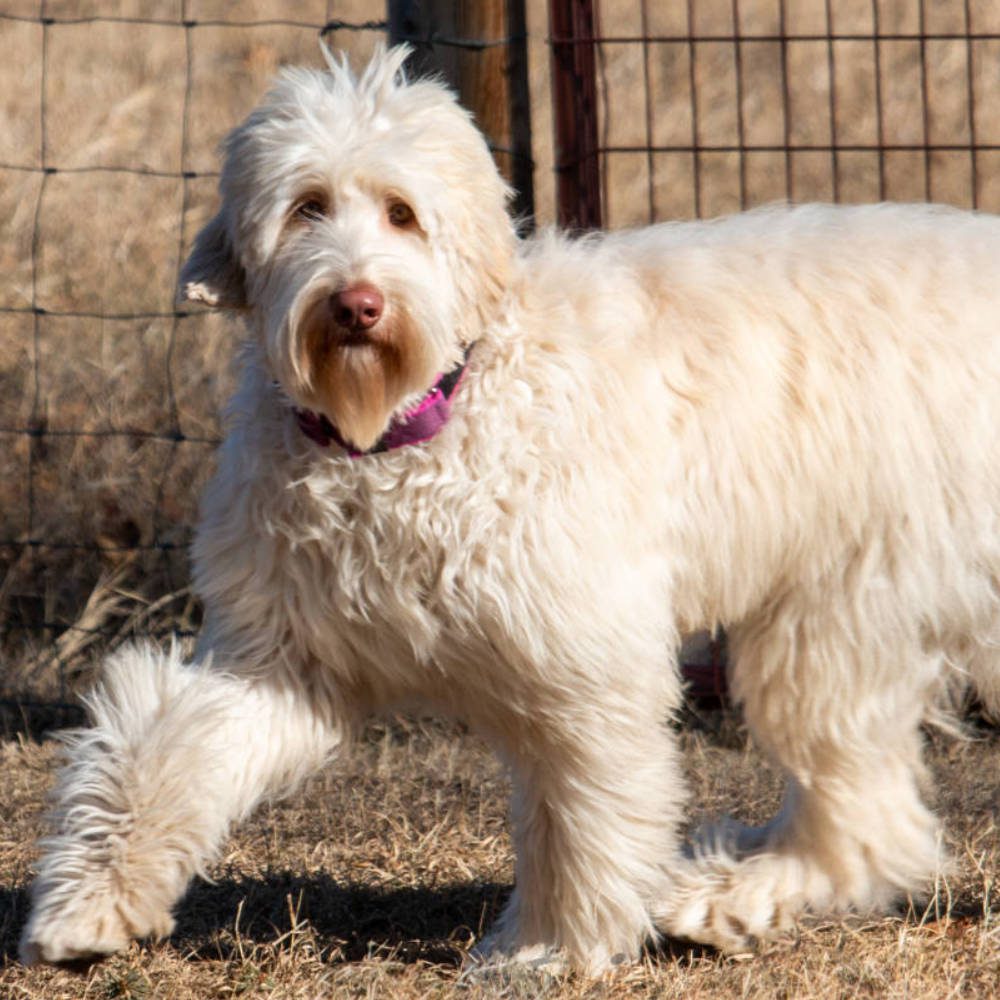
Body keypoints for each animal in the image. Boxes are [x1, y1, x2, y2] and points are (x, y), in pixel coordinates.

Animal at [19, 43, 1000, 972]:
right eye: (305, 207)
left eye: (402, 213)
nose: (356, 303)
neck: (416, 421)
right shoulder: (282, 651)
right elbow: (174, 748)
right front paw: (89, 905)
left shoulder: (580, 658)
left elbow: (578, 812)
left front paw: (551, 946)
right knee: (872, 817)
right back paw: (725, 897)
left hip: (842, 607)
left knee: (865, 812)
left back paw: (723, 895)